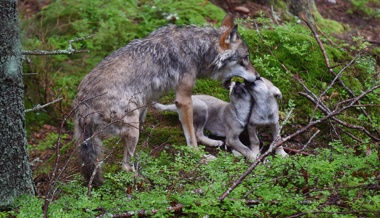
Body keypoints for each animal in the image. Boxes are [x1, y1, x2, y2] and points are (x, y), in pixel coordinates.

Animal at [72, 14, 260, 186]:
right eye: (245, 59)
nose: (258, 77)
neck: (197, 48)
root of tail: (82, 106)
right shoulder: (183, 99)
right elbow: (191, 138)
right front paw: (199, 156)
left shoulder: (146, 98)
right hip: (132, 127)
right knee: (125, 166)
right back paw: (142, 180)